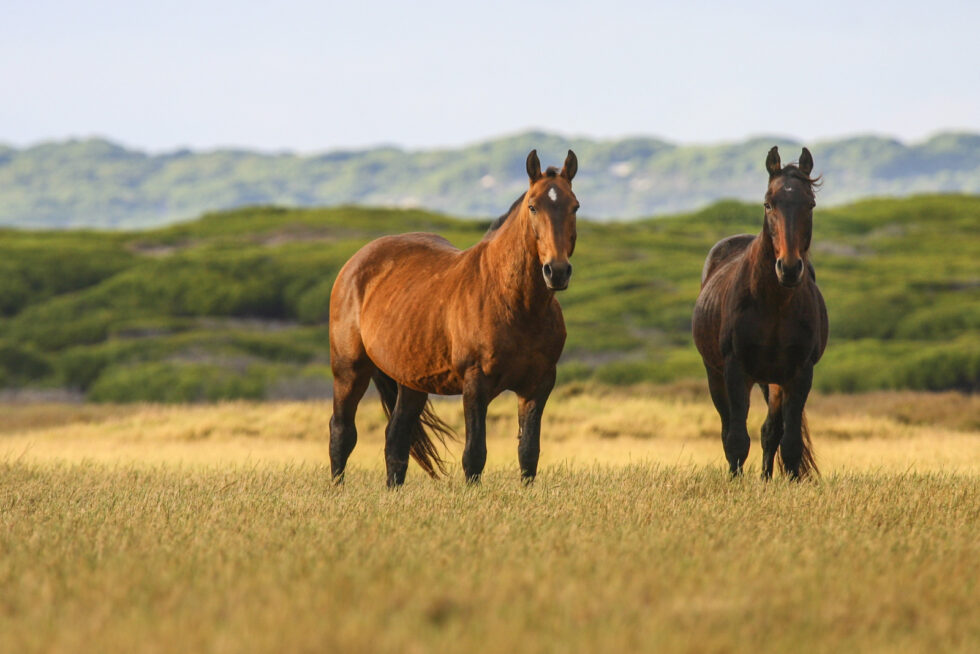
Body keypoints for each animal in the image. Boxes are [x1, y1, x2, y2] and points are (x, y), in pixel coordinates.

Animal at [328, 149, 579, 487]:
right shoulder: (475, 383)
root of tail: (355, 263)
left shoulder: (537, 385)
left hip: (411, 382)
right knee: (342, 432)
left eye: (574, 206)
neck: (515, 303)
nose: (557, 271)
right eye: (533, 206)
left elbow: (528, 454)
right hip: (349, 370)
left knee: (396, 440)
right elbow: (474, 455)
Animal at [692, 146, 828, 479]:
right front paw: (736, 481)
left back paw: (767, 478)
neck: (774, 304)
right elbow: (737, 438)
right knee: (729, 427)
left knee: (771, 432)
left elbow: (788, 442)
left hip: (773, 380)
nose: (789, 268)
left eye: (810, 204)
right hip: (716, 373)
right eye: (769, 203)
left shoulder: (800, 372)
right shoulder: (735, 368)